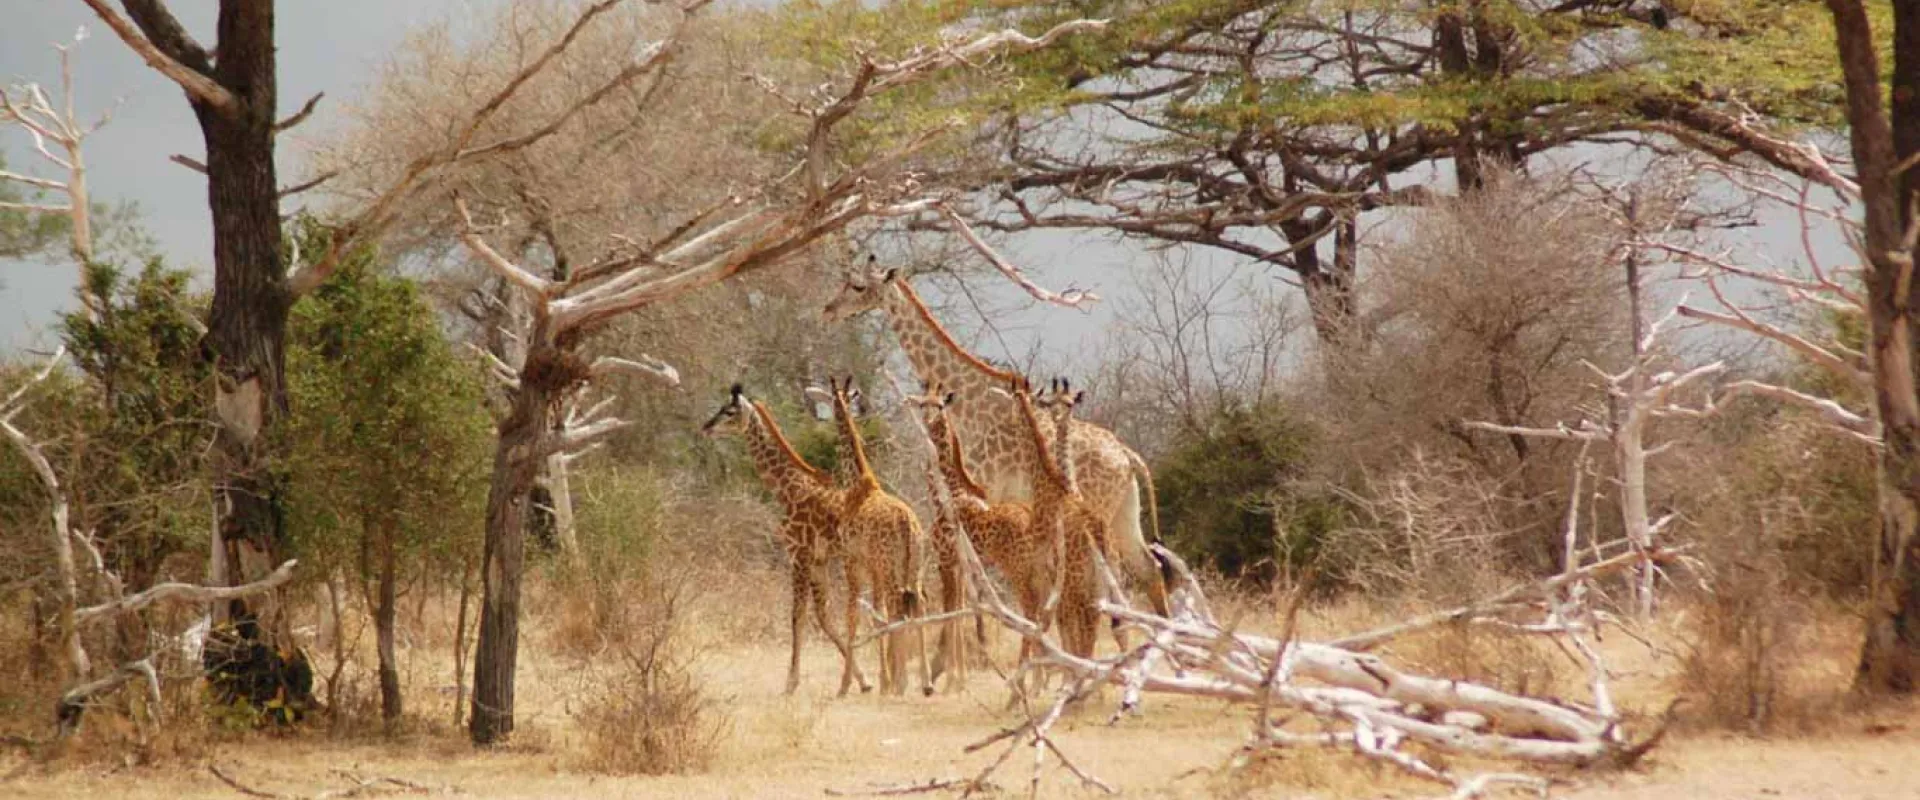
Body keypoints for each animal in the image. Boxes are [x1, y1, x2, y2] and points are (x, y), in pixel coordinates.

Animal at [700, 384, 870, 696]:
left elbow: (797, 616)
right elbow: (822, 616)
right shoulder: (817, 560)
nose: (706, 427)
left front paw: (791, 682)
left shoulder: (799, 556)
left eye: (729, 411)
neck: (786, 489)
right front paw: (863, 680)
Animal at [822, 259, 1171, 618]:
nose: (828, 310)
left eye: (858, 286)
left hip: (1098, 510)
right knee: (1148, 570)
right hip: (1124, 512)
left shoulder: (984, 493)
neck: (971, 405)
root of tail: (1127, 456)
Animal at [823, 376, 933, 697]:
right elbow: (876, 614)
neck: (858, 483)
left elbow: (853, 613)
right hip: (913, 565)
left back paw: (901, 683)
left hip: (891, 566)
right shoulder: (873, 567)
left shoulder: (852, 560)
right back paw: (924, 682)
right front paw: (884, 680)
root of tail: (907, 523)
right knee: (918, 605)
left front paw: (847, 685)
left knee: (898, 607)